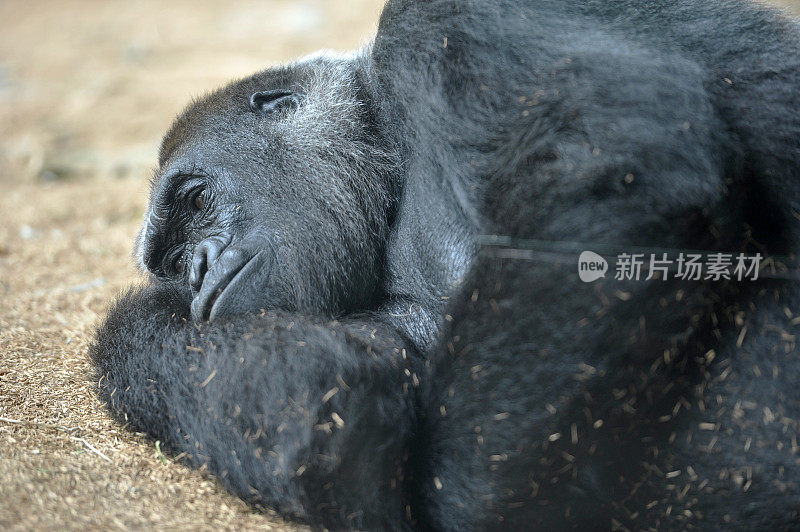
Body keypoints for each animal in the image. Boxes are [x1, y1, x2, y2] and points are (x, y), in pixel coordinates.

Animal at [90, 0, 800, 528]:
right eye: (172, 258)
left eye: (195, 199)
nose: (197, 270)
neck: (389, 146)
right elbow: (320, 410)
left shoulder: (435, 23)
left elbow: (616, 157)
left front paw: (469, 498)